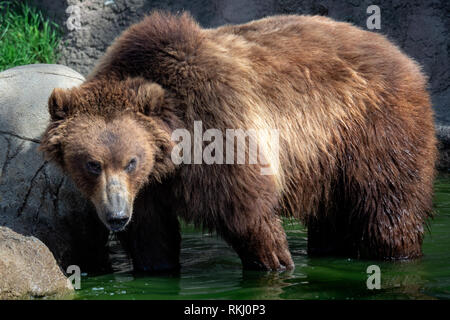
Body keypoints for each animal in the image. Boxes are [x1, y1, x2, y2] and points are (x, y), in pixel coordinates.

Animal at [39, 11, 436, 272]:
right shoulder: (149, 189)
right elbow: (150, 238)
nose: (116, 216)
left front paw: (276, 262)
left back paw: (397, 253)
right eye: (92, 164)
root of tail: (402, 56)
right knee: (334, 217)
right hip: (327, 163)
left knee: (387, 208)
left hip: (373, 131)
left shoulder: (220, 129)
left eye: (130, 161)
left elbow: (247, 211)